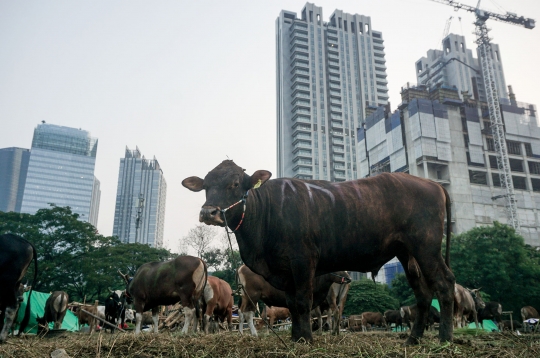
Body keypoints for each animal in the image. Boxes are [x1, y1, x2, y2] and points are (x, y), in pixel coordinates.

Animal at [182, 160, 456, 344]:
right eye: (206, 185)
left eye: (236, 183)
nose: (208, 212)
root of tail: (431, 184)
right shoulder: (285, 270)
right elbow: (292, 304)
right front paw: (295, 338)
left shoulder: (303, 261)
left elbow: (303, 302)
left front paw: (305, 339)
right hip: (407, 253)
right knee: (422, 293)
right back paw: (413, 339)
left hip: (426, 247)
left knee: (444, 283)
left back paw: (445, 337)